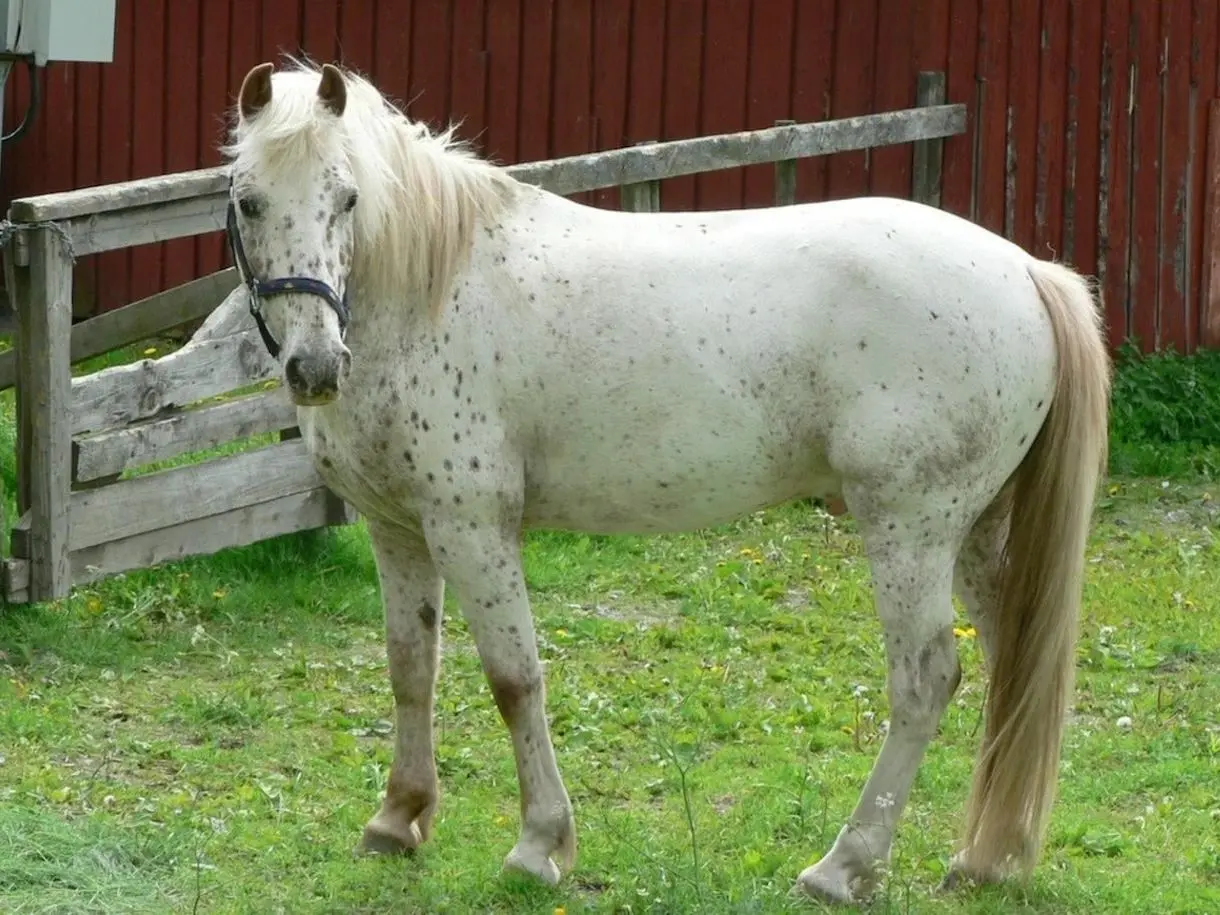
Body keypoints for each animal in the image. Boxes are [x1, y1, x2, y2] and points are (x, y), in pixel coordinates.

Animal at [222, 61, 1117, 907]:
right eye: (248, 200)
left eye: (347, 197)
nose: (313, 366)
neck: (430, 286)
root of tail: (1027, 272)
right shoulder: (398, 528)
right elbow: (411, 667)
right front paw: (398, 818)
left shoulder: (470, 527)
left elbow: (514, 679)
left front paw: (539, 845)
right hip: (974, 533)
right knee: (1015, 665)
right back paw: (987, 860)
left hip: (911, 530)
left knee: (927, 677)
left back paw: (844, 865)